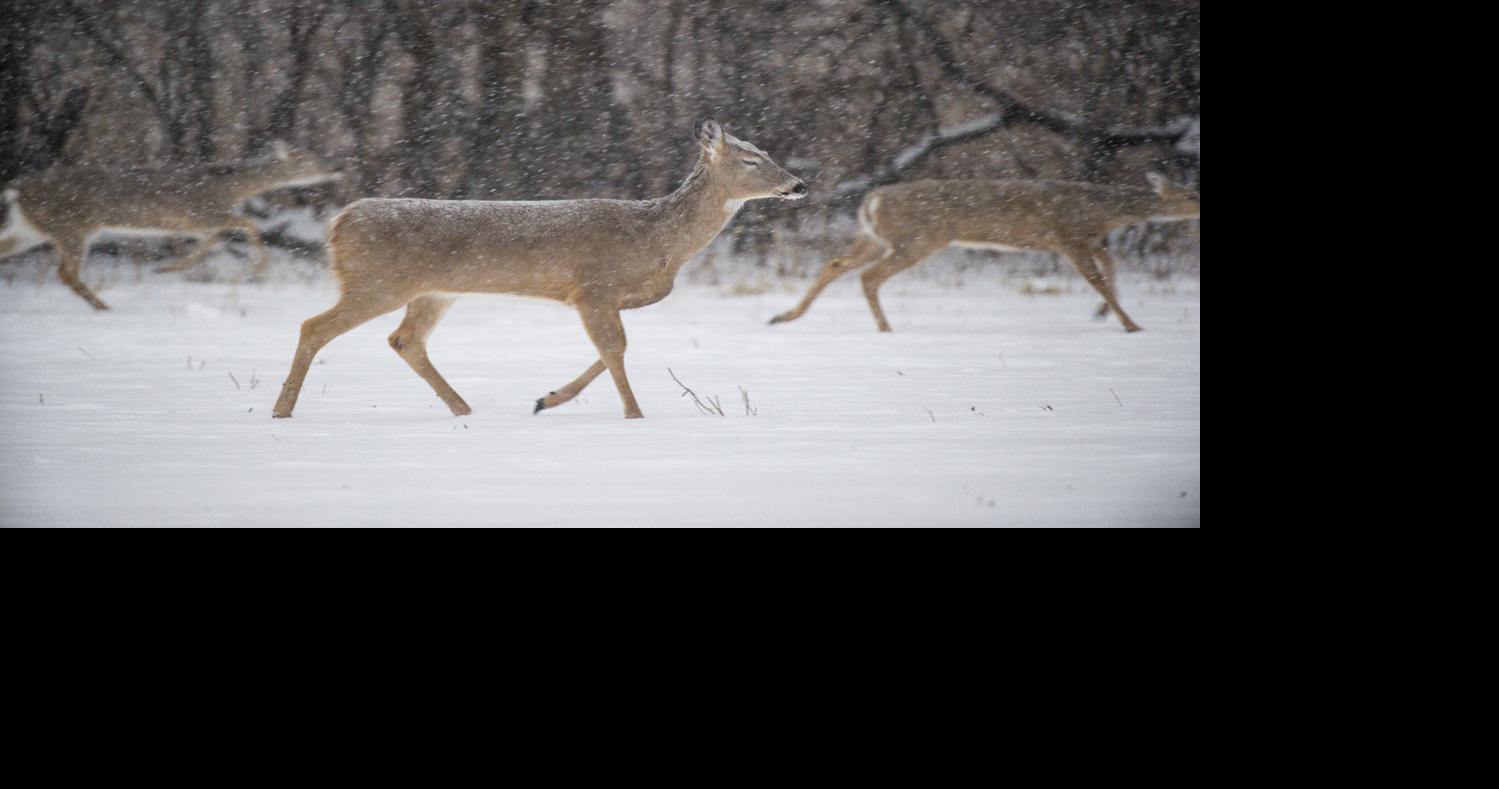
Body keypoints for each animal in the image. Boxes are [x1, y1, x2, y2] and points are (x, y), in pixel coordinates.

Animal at [0, 142, 342, 311]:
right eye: (309, 159)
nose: (335, 168)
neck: (232, 188)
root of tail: (17, 188)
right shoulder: (202, 213)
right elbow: (246, 225)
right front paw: (259, 269)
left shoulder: (195, 224)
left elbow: (214, 241)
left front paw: (170, 268)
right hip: (72, 226)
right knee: (65, 273)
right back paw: (105, 307)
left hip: (33, 228)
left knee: (11, 251)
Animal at [271, 120, 806, 421]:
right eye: (750, 159)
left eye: (766, 153)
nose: (798, 184)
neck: (657, 240)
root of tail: (339, 223)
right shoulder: (593, 287)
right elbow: (615, 349)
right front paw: (635, 415)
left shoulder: (603, 298)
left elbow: (611, 349)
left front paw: (546, 399)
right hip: (378, 281)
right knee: (313, 326)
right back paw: (282, 410)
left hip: (434, 291)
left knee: (405, 340)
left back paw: (464, 409)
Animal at [768, 173, 1201, 333]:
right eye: (1192, 195)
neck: (1103, 211)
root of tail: (871, 201)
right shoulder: (1066, 237)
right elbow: (1097, 279)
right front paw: (1131, 325)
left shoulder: (1090, 240)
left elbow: (1110, 267)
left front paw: (1104, 314)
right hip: (918, 238)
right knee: (868, 276)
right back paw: (886, 328)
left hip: (876, 238)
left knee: (836, 263)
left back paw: (783, 316)